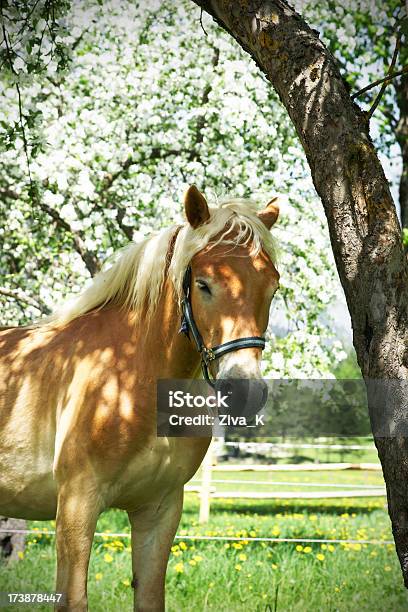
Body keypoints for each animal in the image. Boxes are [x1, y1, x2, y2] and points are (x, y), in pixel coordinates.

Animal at [0, 184, 278, 608]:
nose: (243, 389)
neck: (131, 381)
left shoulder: (158, 510)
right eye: (204, 284)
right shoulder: (77, 507)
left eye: (273, 285)